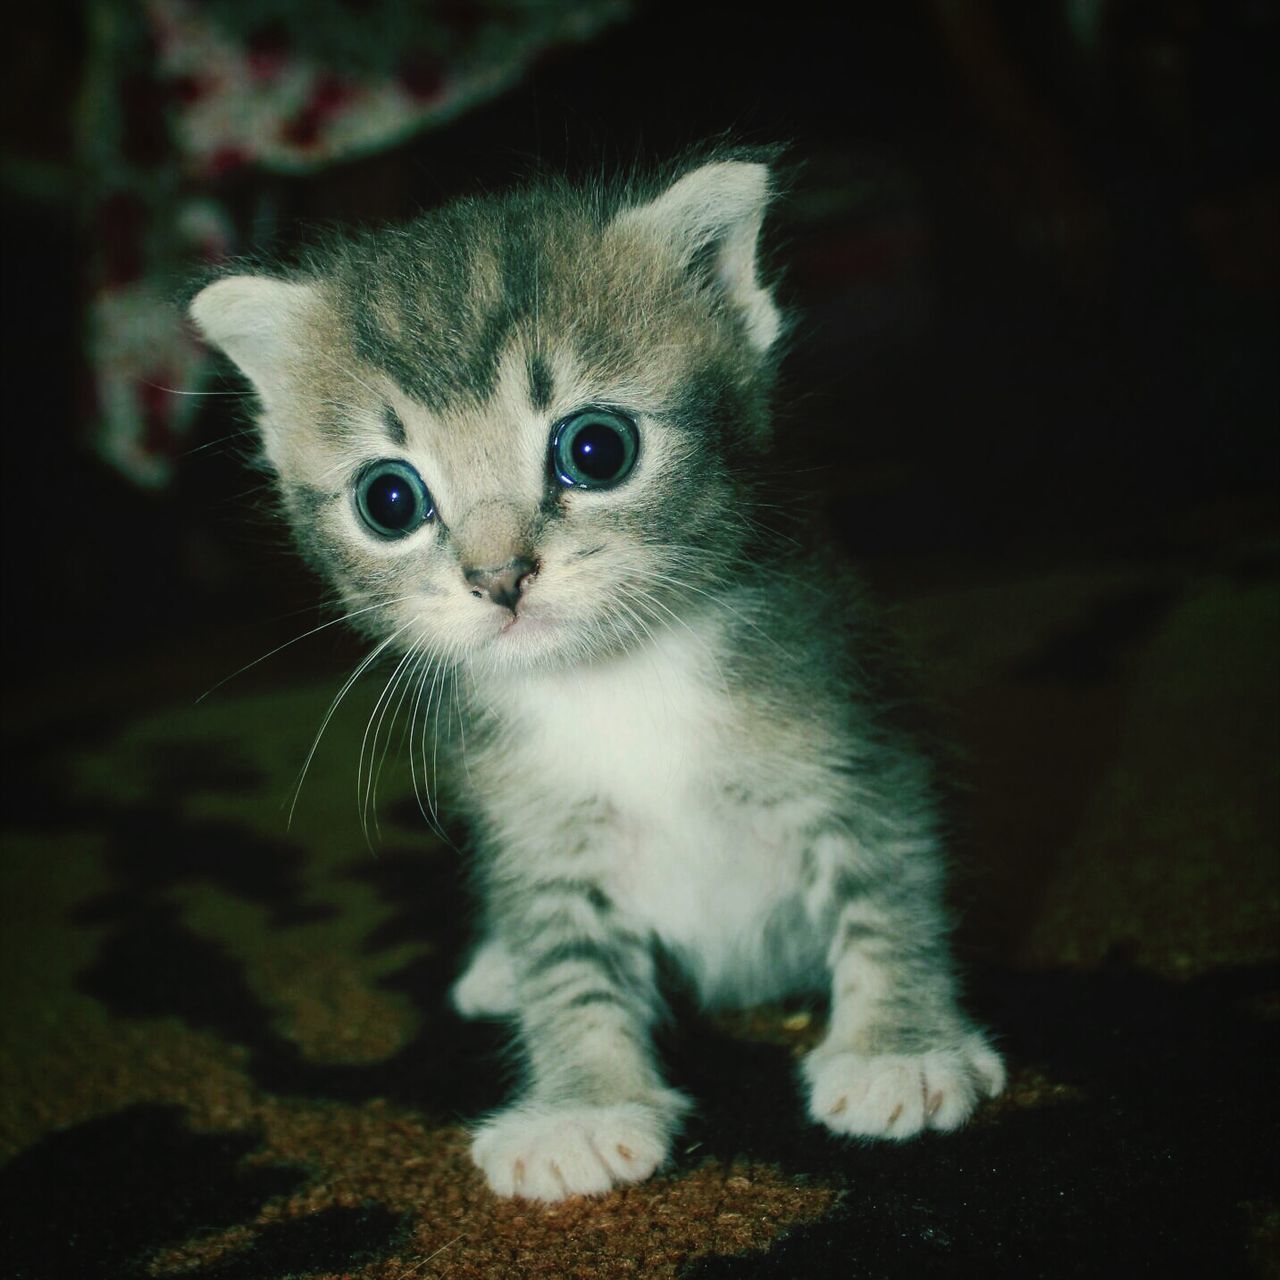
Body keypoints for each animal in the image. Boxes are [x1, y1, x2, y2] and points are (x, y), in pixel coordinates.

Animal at [192, 154, 1008, 1203]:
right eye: (389, 499)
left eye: (595, 448)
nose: (498, 576)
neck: (617, 680)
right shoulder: (534, 819)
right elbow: (564, 952)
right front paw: (583, 1103)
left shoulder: (850, 727)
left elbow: (885, 883)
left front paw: (898, 1047)